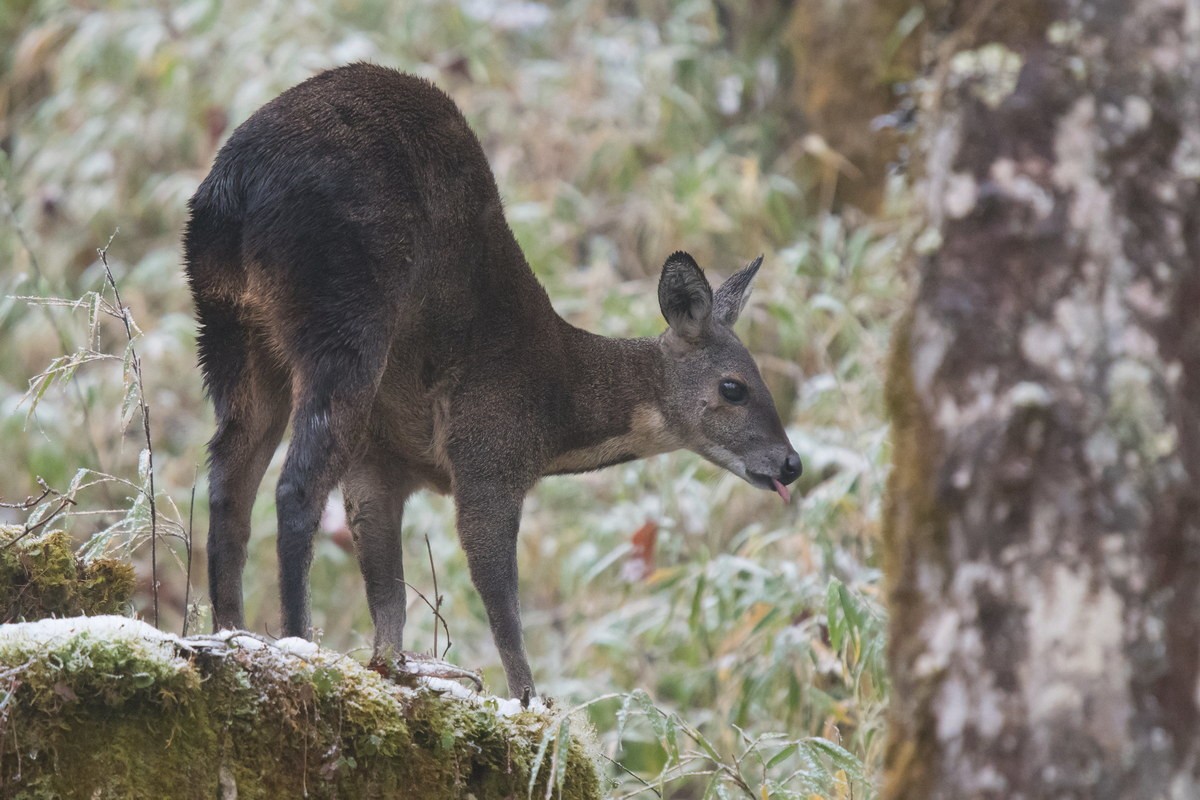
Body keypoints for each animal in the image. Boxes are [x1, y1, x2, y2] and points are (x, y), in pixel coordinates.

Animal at [182, 65, 801, 695]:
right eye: (733, 386)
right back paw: (296, 643)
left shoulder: (381, 461)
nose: (790, 463)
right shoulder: (487, 453)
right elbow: (500, 602)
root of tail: (234, 187)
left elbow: (388, 595)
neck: (554, 409)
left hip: (228, 326)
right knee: (294, 485)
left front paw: (399, 672)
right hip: (345, 319)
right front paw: (527, 700)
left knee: (227, 480)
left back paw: (231, 633)